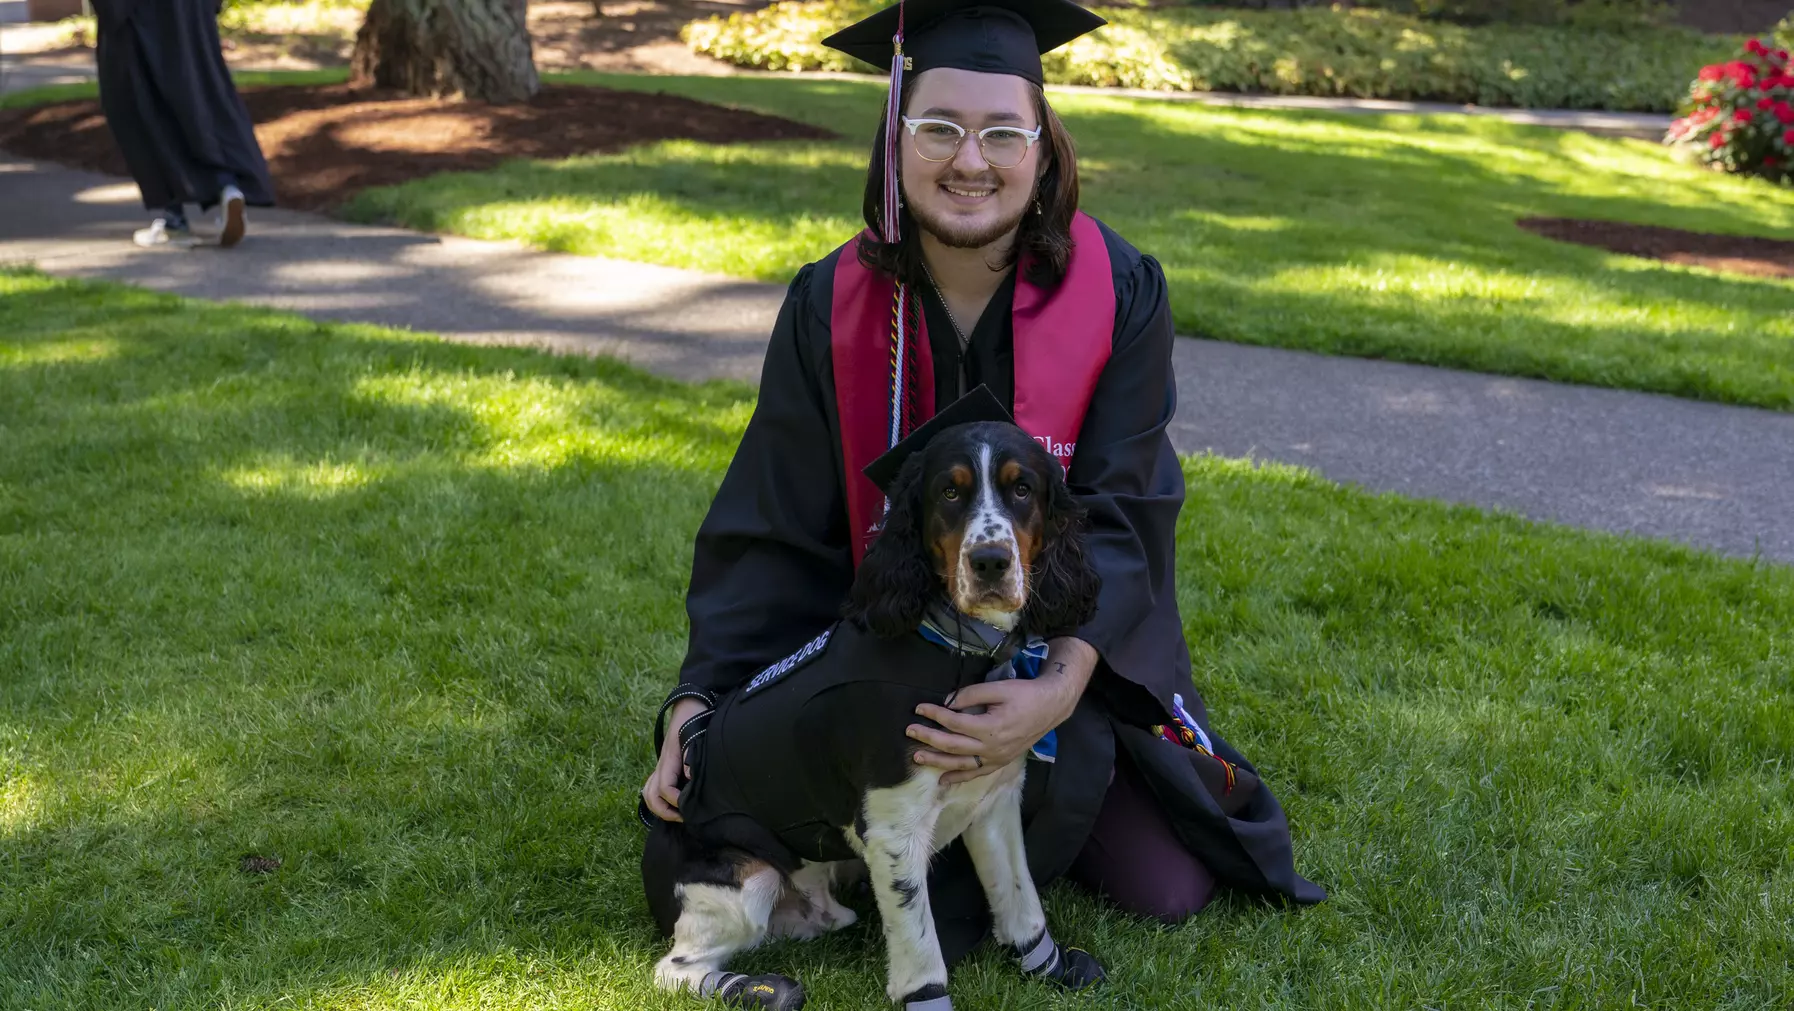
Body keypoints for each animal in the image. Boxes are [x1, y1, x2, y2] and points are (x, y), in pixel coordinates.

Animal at [645, 415, 1105, 1011]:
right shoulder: (893, 831)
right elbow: (920, 945)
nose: (989, 563)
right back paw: (758, 989)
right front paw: (928, 998)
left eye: (1022, 488)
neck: (956, 649)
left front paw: (1046, 964)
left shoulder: (995, 798)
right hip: (744, 878)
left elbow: (1020, 897)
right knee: (674, 968)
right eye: (949, 492)